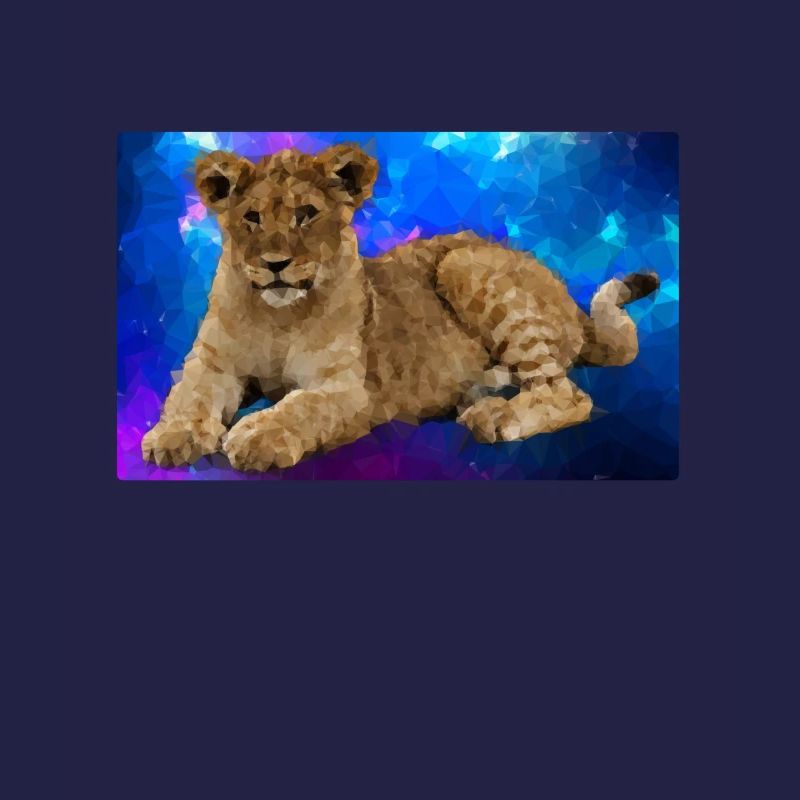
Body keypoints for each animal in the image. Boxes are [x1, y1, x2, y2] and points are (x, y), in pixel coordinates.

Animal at [141, 144, 659, 471]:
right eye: (251, 218)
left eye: (306, 215)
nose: (275, 264)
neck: (278, 316)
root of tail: (574, 307)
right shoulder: (213, 363)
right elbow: (189, 396)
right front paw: (171, 436)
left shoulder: (346, 388)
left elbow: (299, 407)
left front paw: (253, 436)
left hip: (463, 262)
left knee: (567, 394)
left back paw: (495, 416)